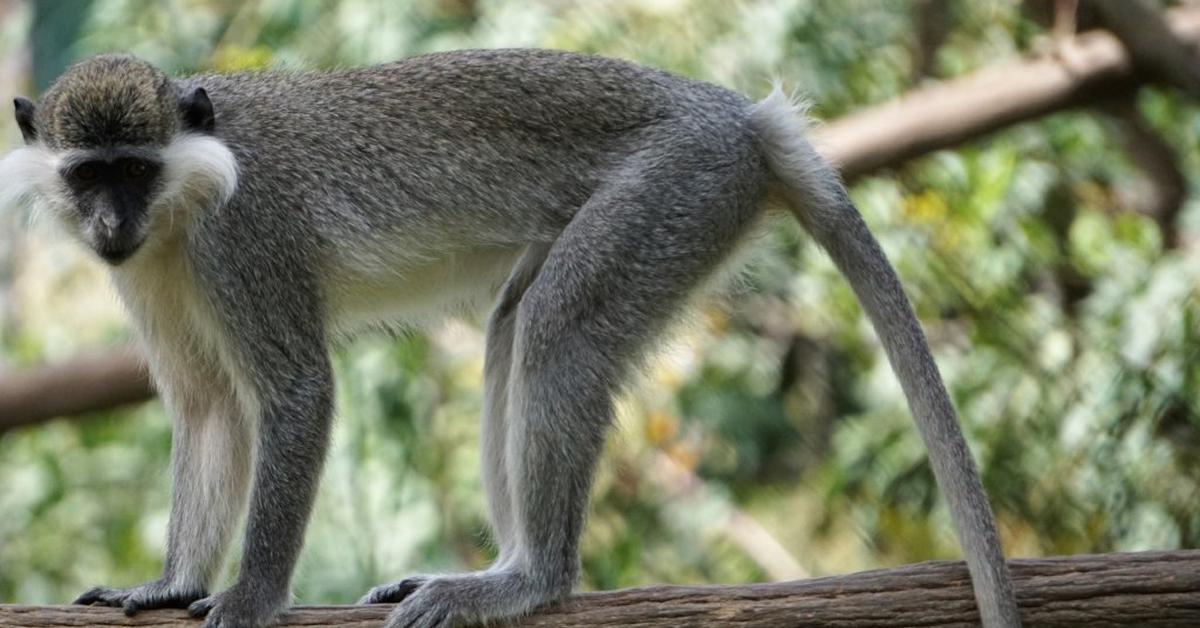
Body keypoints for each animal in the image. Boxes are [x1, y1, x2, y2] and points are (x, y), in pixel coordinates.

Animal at [2, 50, 1022, 628]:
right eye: (89, 175)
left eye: (135, 170)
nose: (109, 226)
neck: (181, 203)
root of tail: (741, 117)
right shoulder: (150, 269)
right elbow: (211, 409)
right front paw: (169, 586)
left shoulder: (245, 240)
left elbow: (295, 395)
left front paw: (251, 601)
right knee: (513, 329)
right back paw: (498, 566)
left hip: (677, 188)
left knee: (559, 329)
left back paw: (534, 581)